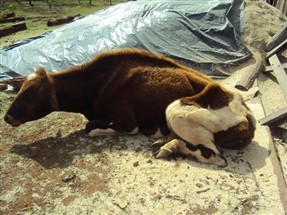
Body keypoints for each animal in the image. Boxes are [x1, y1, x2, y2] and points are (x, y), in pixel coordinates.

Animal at [3, 48, 256, 166]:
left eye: (30, 92)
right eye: (20, 88)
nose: (7, 117)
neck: (97, 82)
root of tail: (246, 110)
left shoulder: (128, 121)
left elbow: (90, 128)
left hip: (175, 109)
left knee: (213, 156)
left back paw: (168, 146)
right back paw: (166, 144)